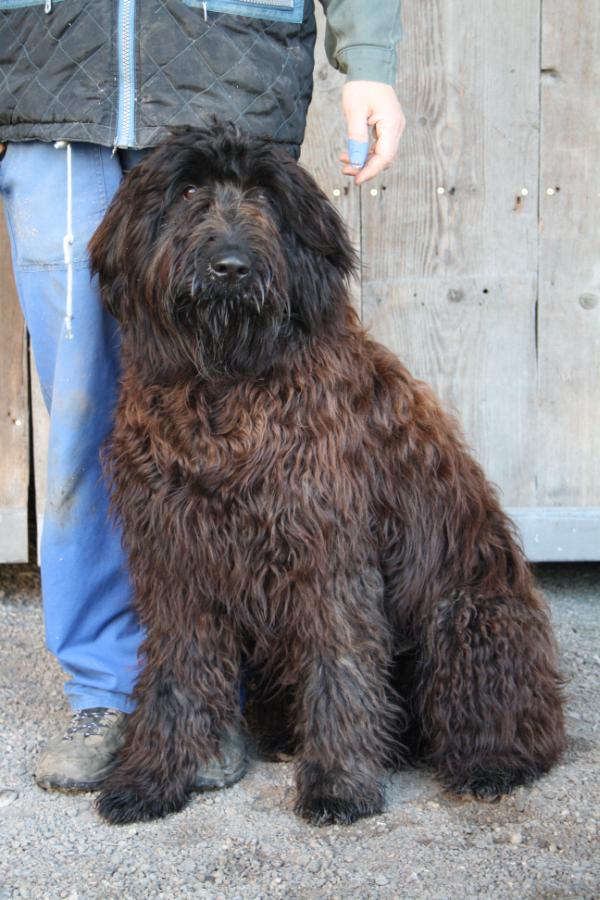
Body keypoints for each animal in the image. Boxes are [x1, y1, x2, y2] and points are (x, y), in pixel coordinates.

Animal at [86, 123, 564, 828]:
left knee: (510, 716)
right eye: (190, 190)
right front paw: (150, 777)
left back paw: (493, 762)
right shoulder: (178, 558)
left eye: (263, 195)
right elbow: (176, 673)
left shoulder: (330, 554)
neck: (226, 386)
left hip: (468, 616)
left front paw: (339, 784)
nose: (232, 266)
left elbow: (340, 666)